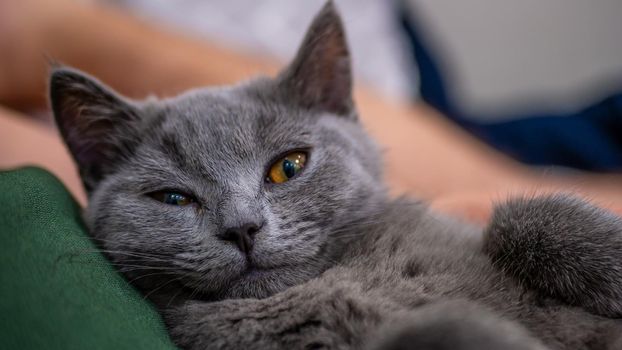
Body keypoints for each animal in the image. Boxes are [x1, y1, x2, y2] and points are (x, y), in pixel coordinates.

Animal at [50, 2, 622, 350]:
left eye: (288, 167)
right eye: (173, 198)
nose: (242, 228)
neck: (340, 278)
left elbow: (527, 216)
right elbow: (435, 327)